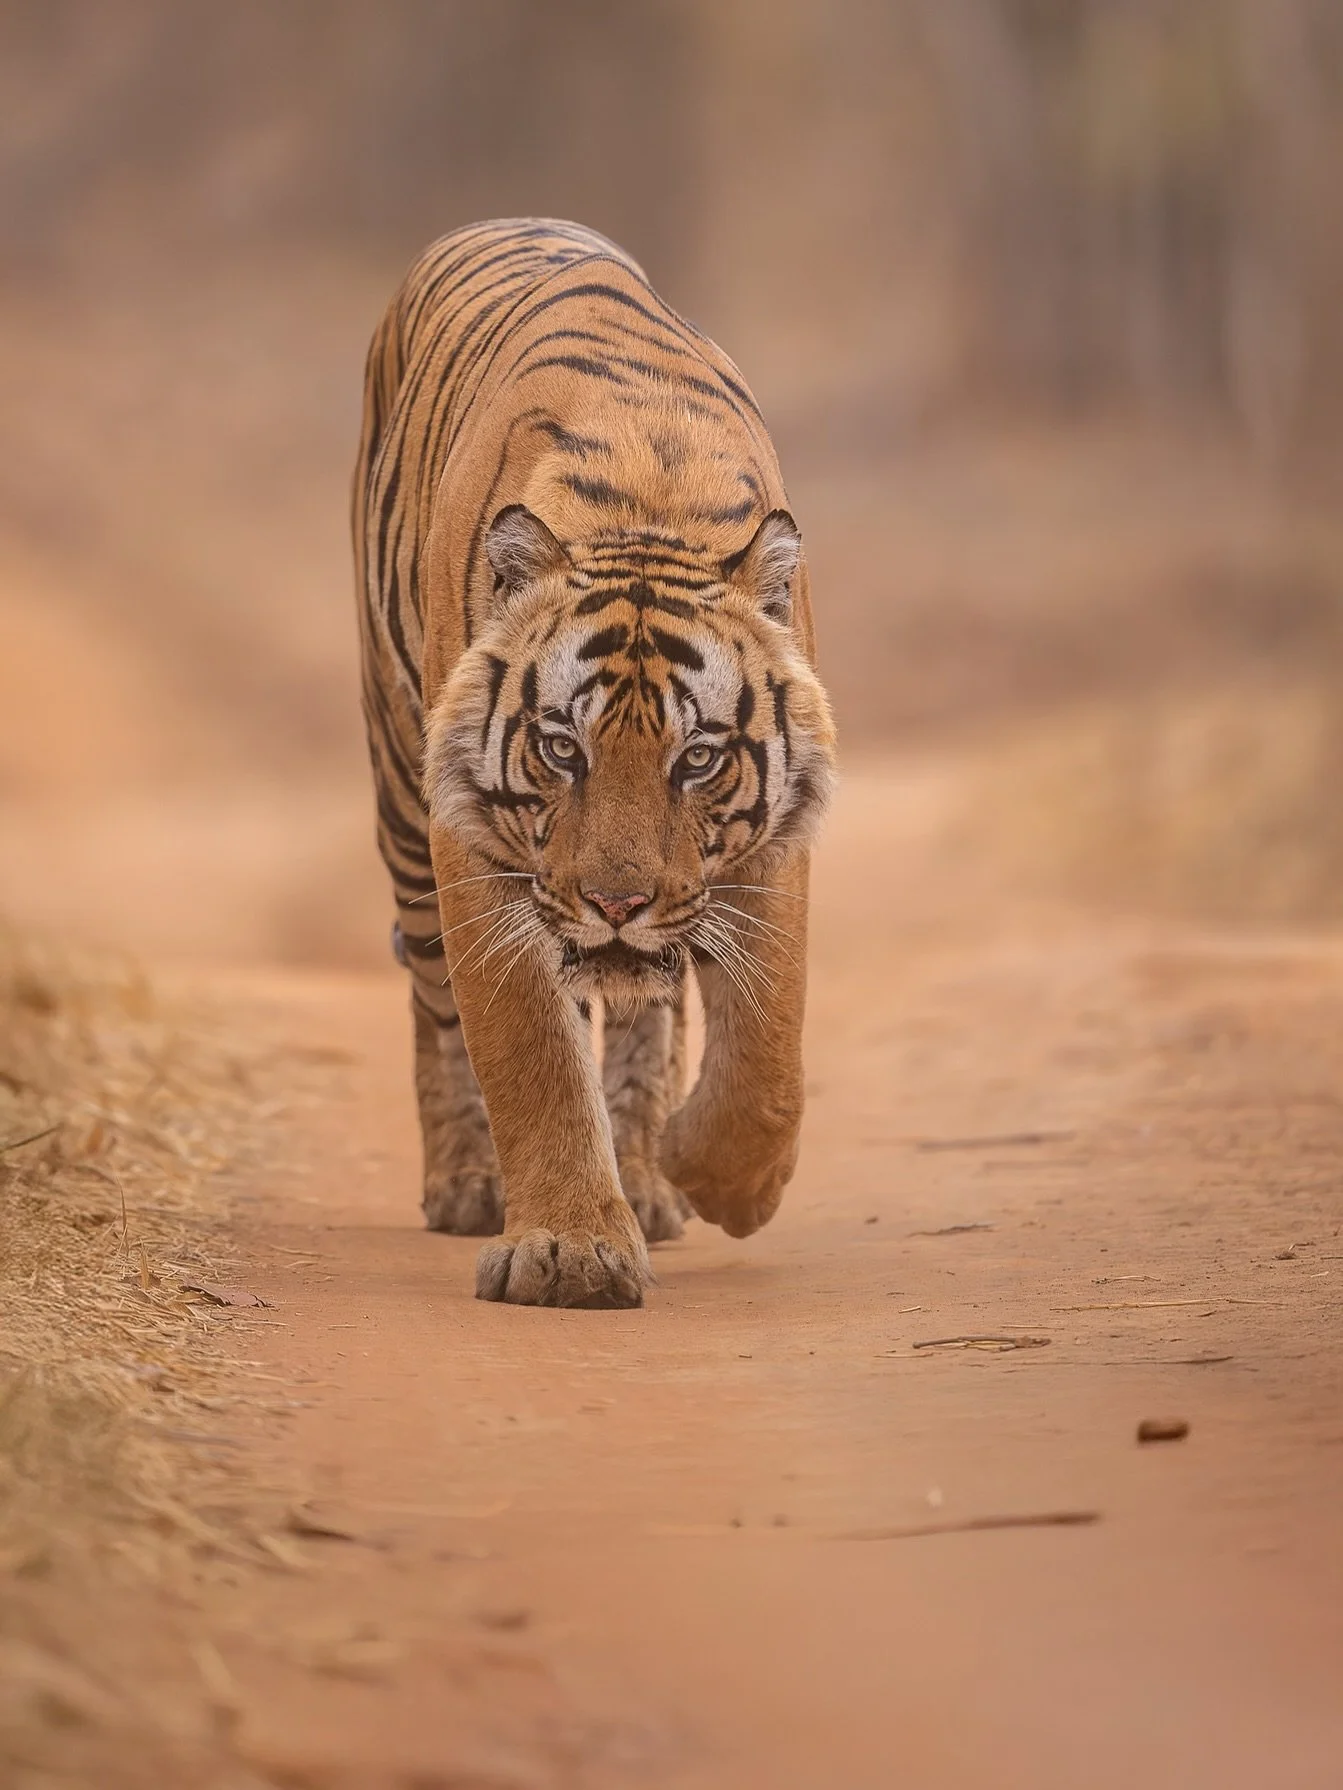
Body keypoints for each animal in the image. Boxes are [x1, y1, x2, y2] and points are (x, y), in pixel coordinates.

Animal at [353, 218, 836, 1308]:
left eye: (698, 758)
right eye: (560, 748)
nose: (616, 902)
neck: (649, 502)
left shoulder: (775, 832)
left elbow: (770, 1035)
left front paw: (719, 1175)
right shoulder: (469, 838)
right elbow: (527, 1044)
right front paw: (568, 1250)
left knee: (653, 1002)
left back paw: (651, 1177)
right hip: (401, 796)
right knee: (436, 1004)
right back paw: (469, 1182)